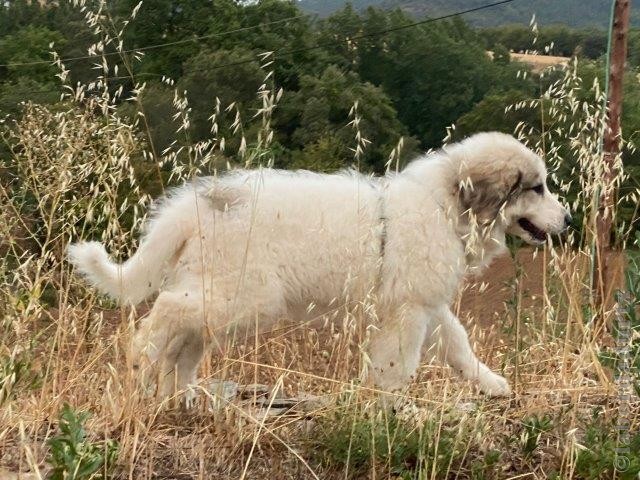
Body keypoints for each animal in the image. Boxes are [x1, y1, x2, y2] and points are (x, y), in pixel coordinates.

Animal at [69, 131, 568, 398]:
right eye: (537, 188)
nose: (568, 220)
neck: (445, 205)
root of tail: (194, 207)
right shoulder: (407, 311)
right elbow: (398, 363)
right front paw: (390, 405)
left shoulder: (423, 302)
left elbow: (458, 343)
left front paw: (489, 382)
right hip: (245, 296)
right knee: (167, 312)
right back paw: (141, 360)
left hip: (219, 294)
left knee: (184, 338)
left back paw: (178, 392)